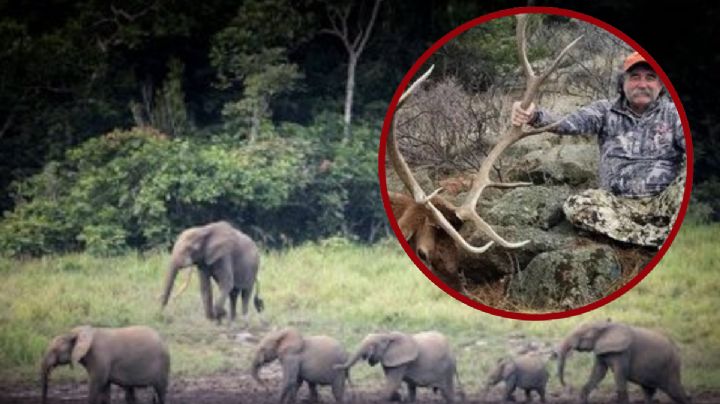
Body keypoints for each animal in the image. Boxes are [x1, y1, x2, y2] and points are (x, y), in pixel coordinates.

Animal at [41, 325, 169, 404]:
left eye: (55, 350)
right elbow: (105, 389)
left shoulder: (99, 357)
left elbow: (97, 384)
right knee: (130, 393)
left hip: (163, 365)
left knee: (160, 392)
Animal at [556, 319, 690, 404]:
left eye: (583, 336)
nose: (567, 386)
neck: (605, 325)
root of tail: (677, 351)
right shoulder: (601, 349)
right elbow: (598, 373)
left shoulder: (623, 352)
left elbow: (619, 375)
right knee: (648, 391)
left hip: (670, 367)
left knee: (674, 391)